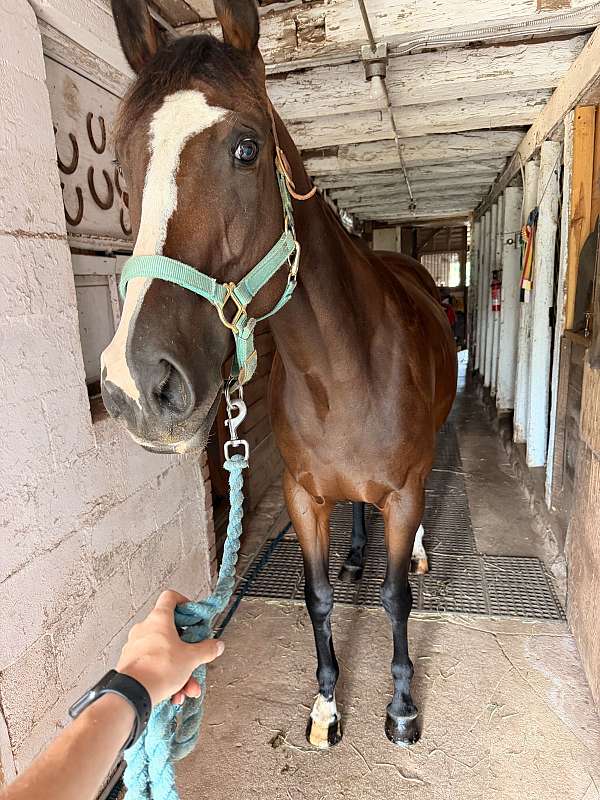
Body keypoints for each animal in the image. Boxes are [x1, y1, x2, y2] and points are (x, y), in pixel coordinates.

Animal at [102, 0, 457, 748]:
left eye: (247, 148)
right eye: (123, 157)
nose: (135, 385)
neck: (342, 372)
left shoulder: (403, 491)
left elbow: (396, 599)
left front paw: (401, 707)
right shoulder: (301, 496)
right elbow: (318, 597)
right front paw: (325, 706)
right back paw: (357, 554)